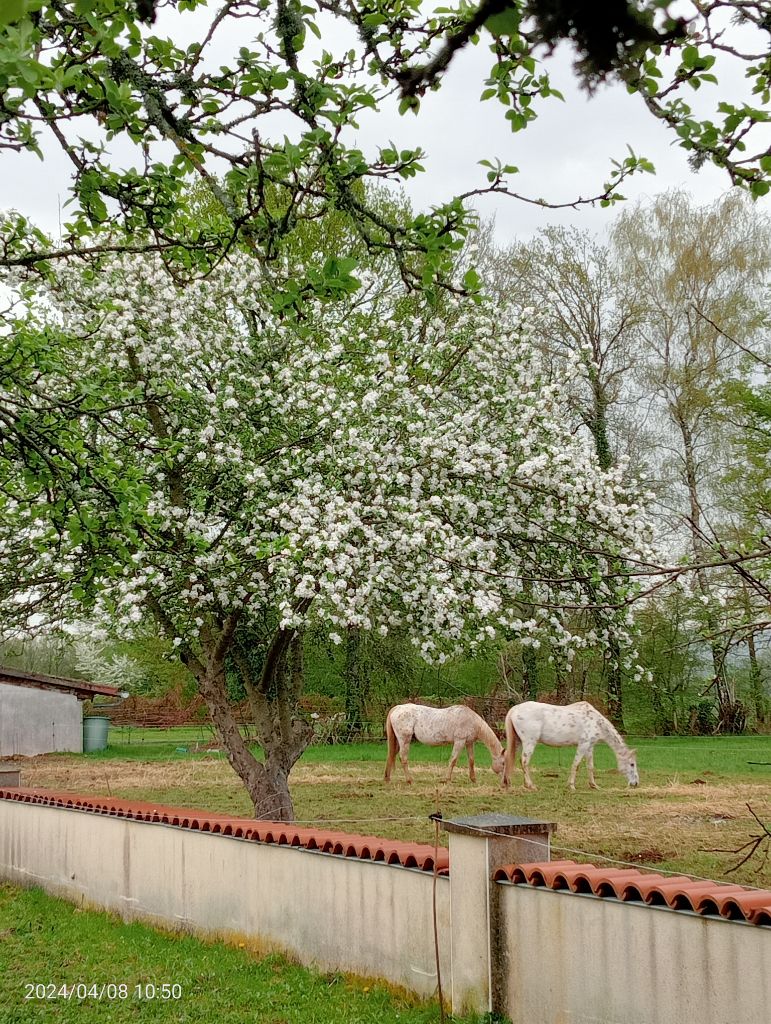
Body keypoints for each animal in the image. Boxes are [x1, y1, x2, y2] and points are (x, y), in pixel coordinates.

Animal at [499, 700, 638, 794]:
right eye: (632, 764)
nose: (635, 783)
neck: (596, 722)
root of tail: (515, 709)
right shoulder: (583, 745)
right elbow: (576, 765)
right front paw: (571, 786)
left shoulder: (589, 747)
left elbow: (590, 766)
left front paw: (594, 785)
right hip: (529, 742)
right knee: (524, 762)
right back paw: (530, 785)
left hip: (517, 741)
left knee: (507, 757)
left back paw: (507, 783)